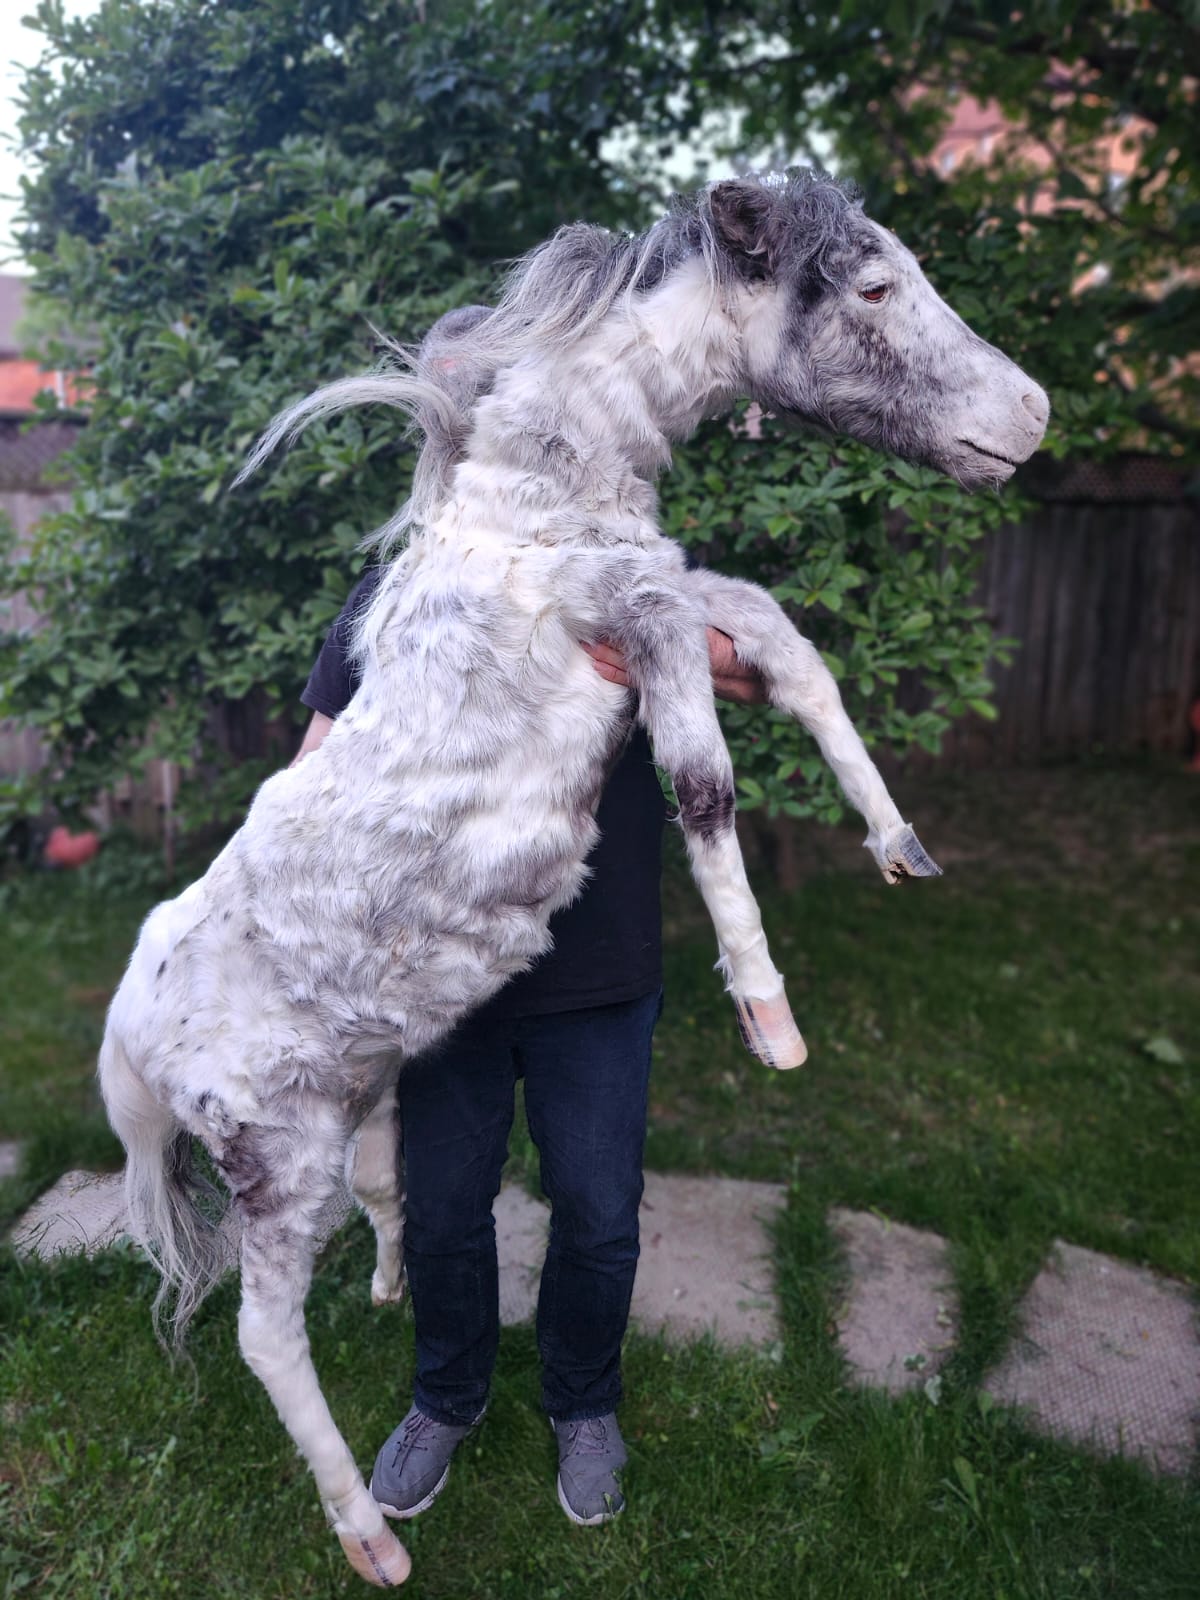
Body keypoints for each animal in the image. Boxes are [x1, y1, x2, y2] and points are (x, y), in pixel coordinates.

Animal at [99, 170, 1048, 1586]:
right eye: (873, 284)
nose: (1032, 416)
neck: (539, 493)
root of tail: (130, 1040)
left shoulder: (678, 592)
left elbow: (793, 649)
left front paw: (900, 845)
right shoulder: (640, 621)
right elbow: (705, 780)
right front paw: (771, 1021)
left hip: (362, 1103)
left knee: (389, 1201)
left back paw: (391, 1290)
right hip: (277, 1164)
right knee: (267, 1334)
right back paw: (370, 1534)